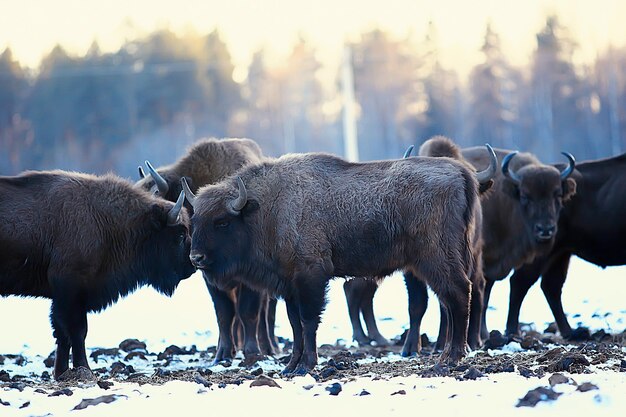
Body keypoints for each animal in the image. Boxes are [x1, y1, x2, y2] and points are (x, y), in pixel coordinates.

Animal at [0, 171, 194, 378]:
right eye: (180, 235)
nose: (191, 264)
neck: (104, 220)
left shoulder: (65, 297)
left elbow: (62, 334)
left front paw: (61, 372)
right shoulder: (70, 290)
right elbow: (77, 331)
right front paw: (84, 368)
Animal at [134, 136, 276, 360]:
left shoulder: (249, 280)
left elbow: (248, 312)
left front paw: (252, 351)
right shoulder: (210, 278)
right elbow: (224, 314)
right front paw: (223, 353)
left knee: (263, 314)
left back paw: (269, 347)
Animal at [183, 152, 480, 374]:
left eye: (222, 222)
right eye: (193, 220)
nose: (196, 258)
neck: (265, 208)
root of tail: (459, 172)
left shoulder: (311, 278)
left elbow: (308, 321)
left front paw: (306, 365)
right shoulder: (290, 286)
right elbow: (295, 324)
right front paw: (290, 366)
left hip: (436, 259)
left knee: (457, 294)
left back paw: (450, 358)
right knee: (450, 301)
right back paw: (447, 355)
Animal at [502, 152, 624, 338]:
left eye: (558, 195)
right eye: (526, 197)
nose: (546, 229)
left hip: (561, 253)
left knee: (550, 286)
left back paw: (569, 331)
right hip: (544, 253)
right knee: (520, 282)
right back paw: (511, 331)